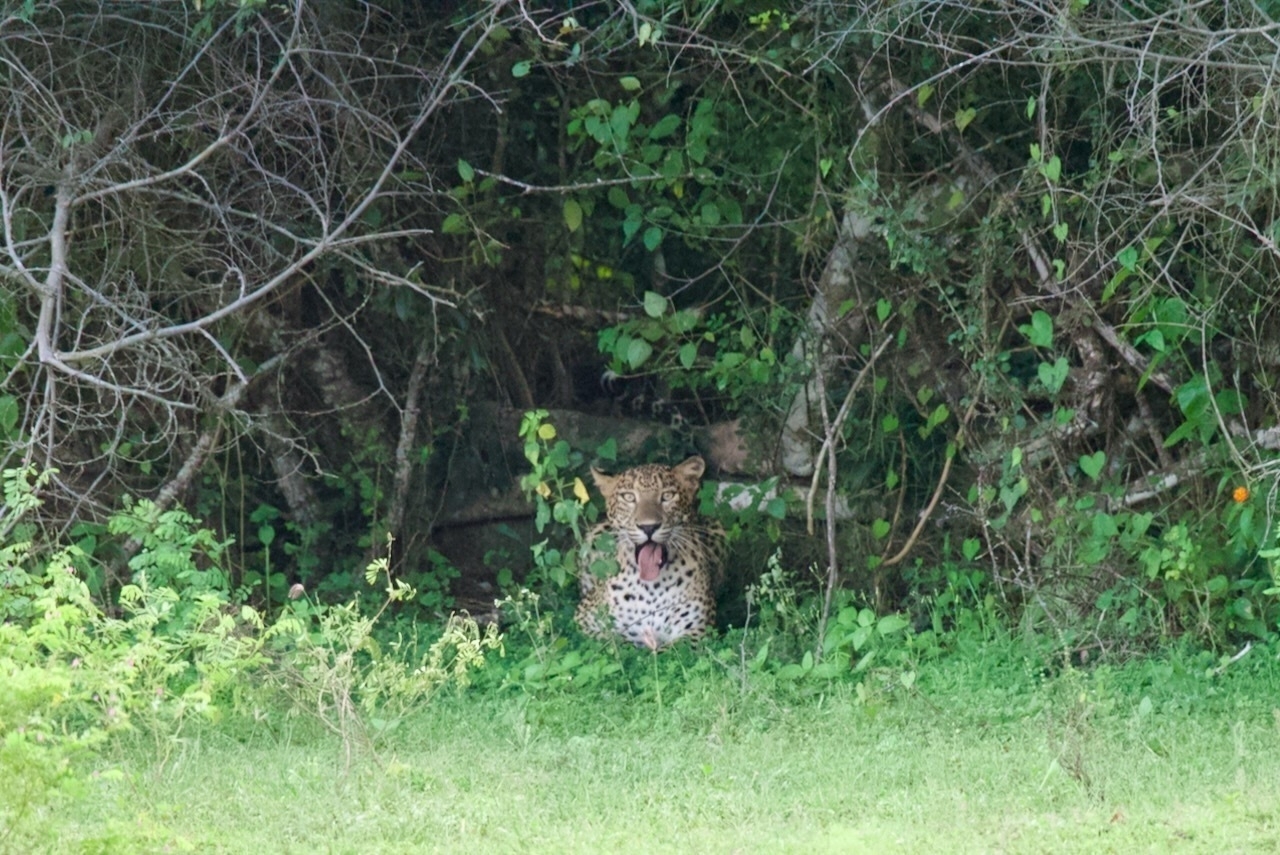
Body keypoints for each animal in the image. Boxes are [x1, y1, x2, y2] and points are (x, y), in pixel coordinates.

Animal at [576, 453, 727, 647]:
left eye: (667, 495)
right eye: (629, 497)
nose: (649, 527)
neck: (650, 587)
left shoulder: (698, 629)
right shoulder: (584, 617)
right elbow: (614, 641)